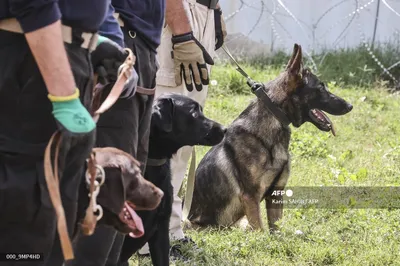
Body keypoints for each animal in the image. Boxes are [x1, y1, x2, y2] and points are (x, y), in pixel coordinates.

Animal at [188, 43, 354, 231]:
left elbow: (276, 229)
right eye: (320, 88)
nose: (350, 105)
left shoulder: (276, 194)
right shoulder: (250, 197)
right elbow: (261, 231)